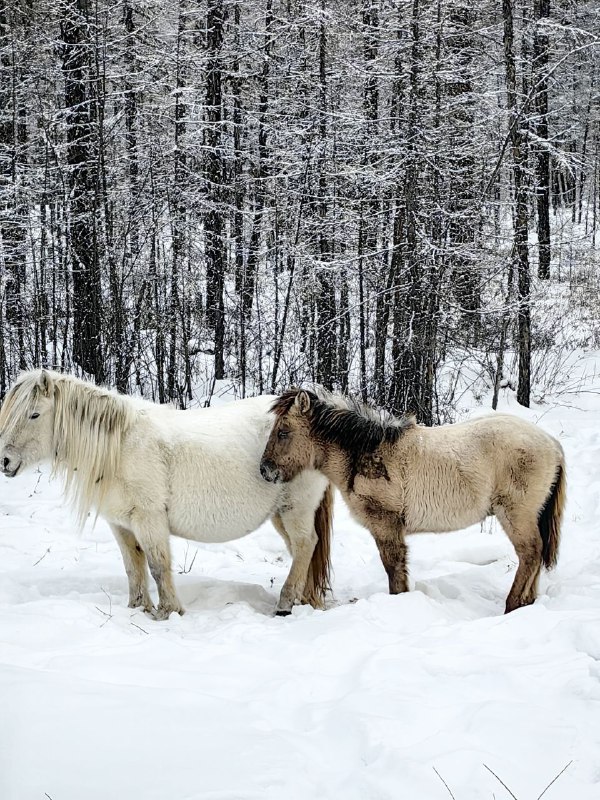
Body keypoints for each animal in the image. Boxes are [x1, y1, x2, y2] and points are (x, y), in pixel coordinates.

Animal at [0, 370, 332, 620]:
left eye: (34, 414)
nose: (4, 461)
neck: (121, 446)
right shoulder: (121, 525)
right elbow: (133, 568)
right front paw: (137, 608)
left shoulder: (149, 519)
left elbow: (158, 566)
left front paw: (168, 612)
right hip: (281, 513)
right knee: (302, 550)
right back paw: (303, 600)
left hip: (296, 507)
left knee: (305, 545)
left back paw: (286, 603)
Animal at [260, 390, 564, 612]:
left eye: (283, 432)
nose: (264, 470)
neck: (367, 452)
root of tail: (551, 443)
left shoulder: (386, 526)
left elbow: (394, 570)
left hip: (515, 514)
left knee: (530, 554)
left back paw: (512, 605)